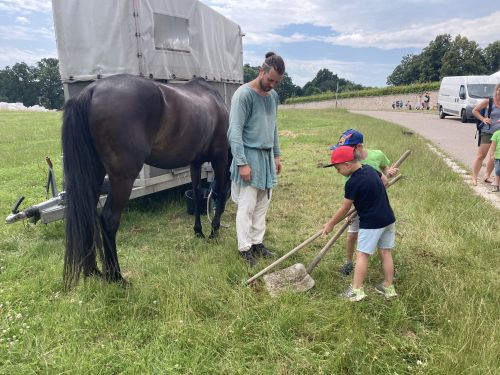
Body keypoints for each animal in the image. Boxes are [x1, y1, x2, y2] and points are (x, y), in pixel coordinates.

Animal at [60, 75, 230, 290]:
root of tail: (92, 91)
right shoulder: (220, 158)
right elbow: (218, 193)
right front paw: (214, 232)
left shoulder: (195, 162)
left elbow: (197, 191)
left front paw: (199, 231)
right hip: (123, 179)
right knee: (109, 219)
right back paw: (116, 277)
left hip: (94, 173)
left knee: (87, 215)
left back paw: (95, 272)